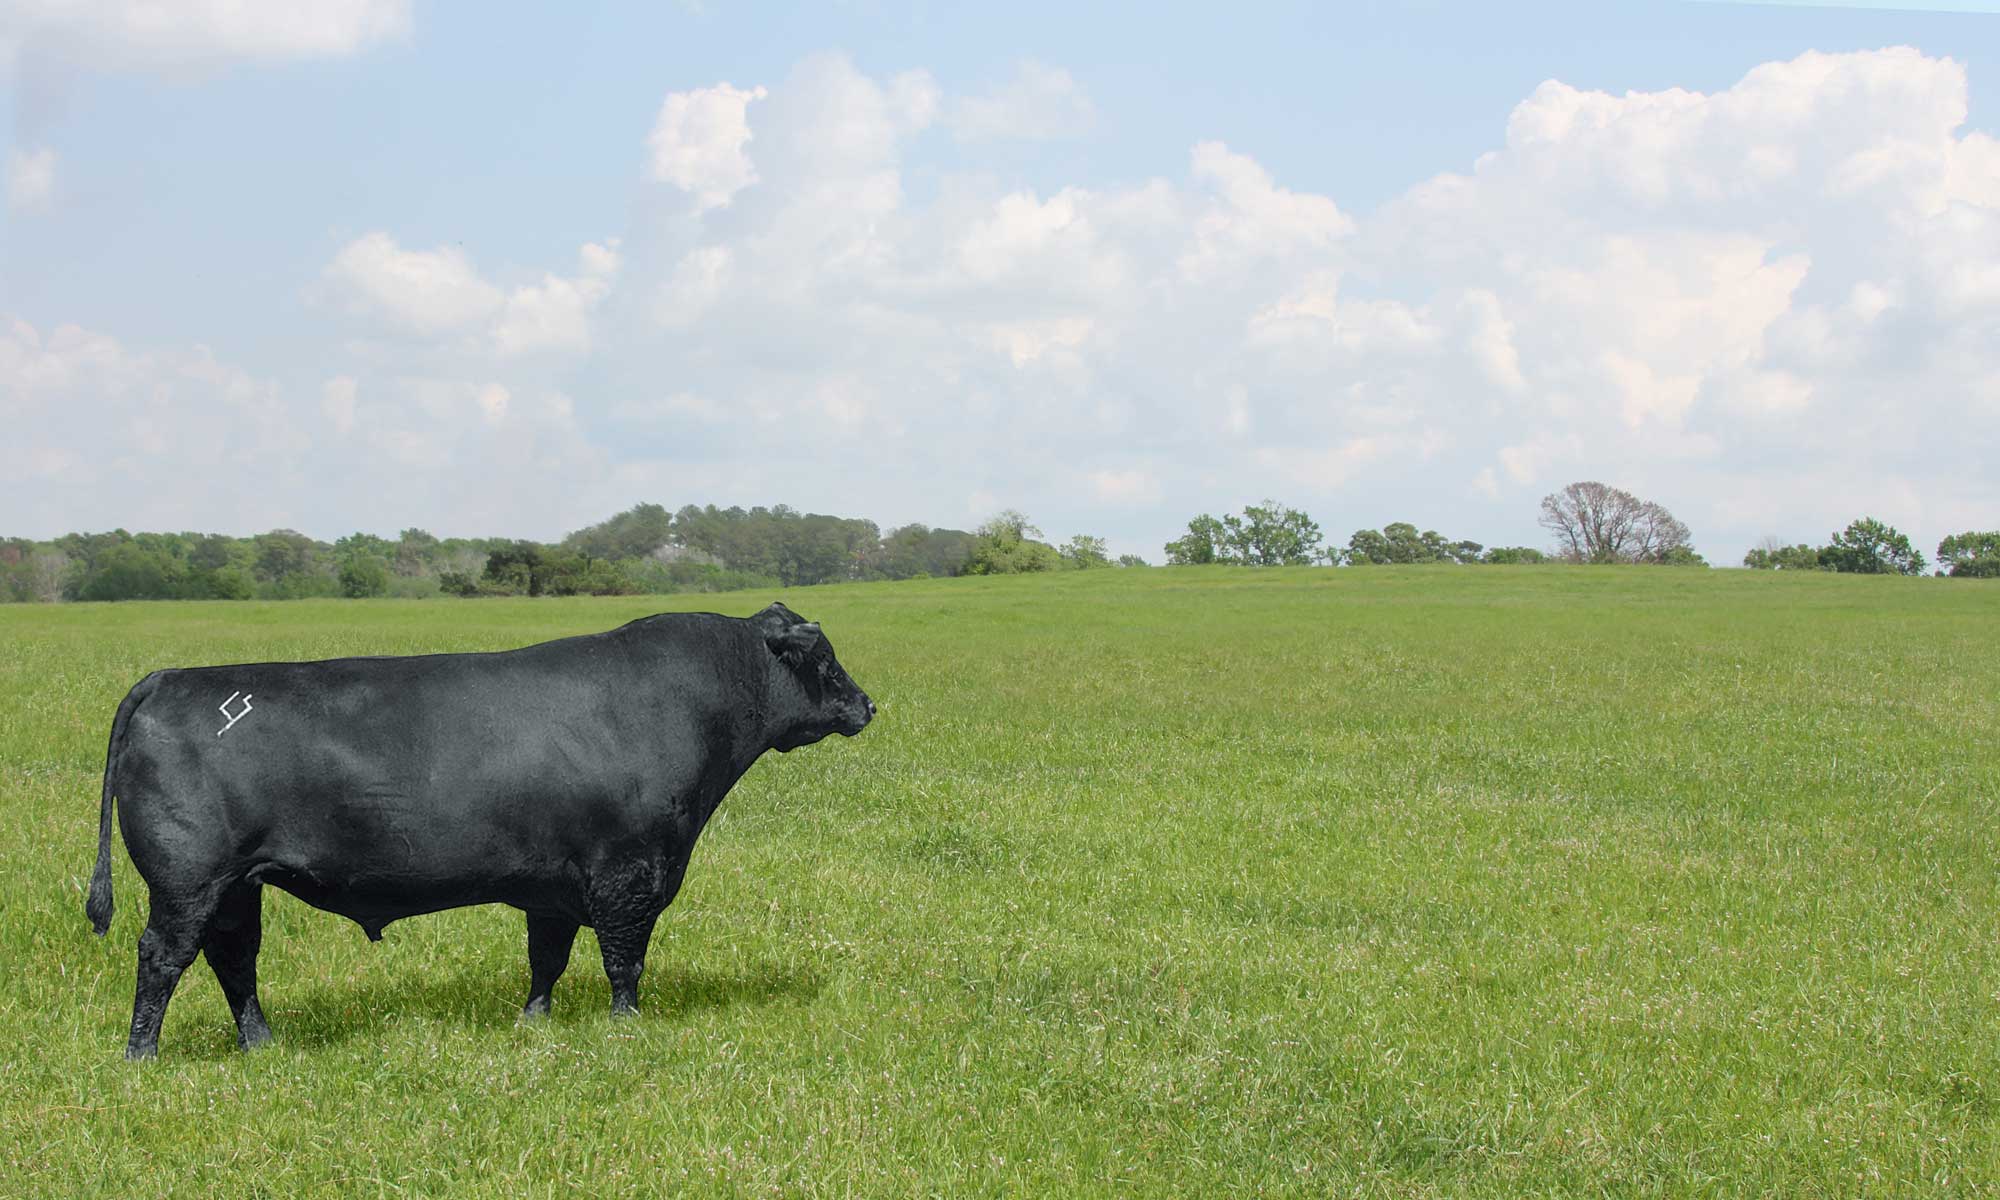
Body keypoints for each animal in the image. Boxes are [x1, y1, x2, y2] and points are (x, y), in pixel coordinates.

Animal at [86, 604, 872, 1056]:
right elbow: (624, 962)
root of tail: (172, 677)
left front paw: (533, 1023)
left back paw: (262, 1044)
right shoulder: (629, 873)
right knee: (163, 957)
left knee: (233, 958)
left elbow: (547, 959)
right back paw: (141, 1055)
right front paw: (626, 1027)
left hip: (236, 886)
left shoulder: (555, 888)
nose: (867, 705)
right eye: (826, 658)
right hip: (189, 880)